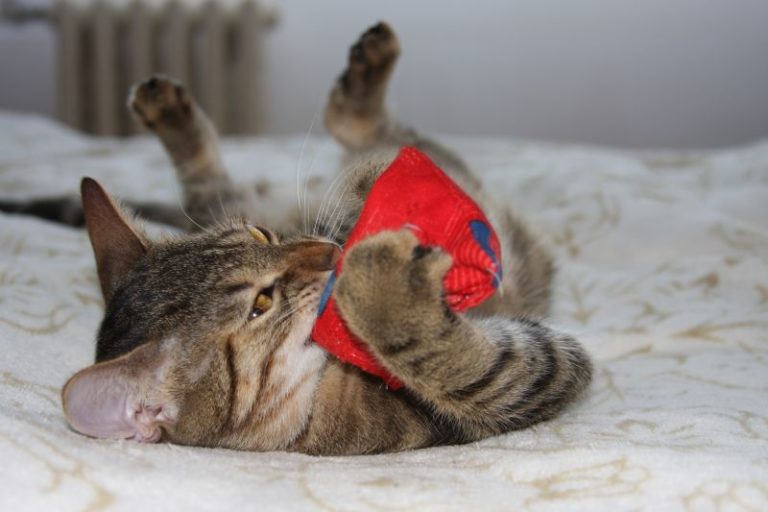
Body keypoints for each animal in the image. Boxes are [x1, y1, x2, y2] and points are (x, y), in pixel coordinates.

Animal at [10, 22, 592, 454]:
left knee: (223, 185)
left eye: (263, 236)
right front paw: (382, 284)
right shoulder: (501, 389)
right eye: (262, 304)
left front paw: (369, 196)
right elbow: (460, 364)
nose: (328, 253)